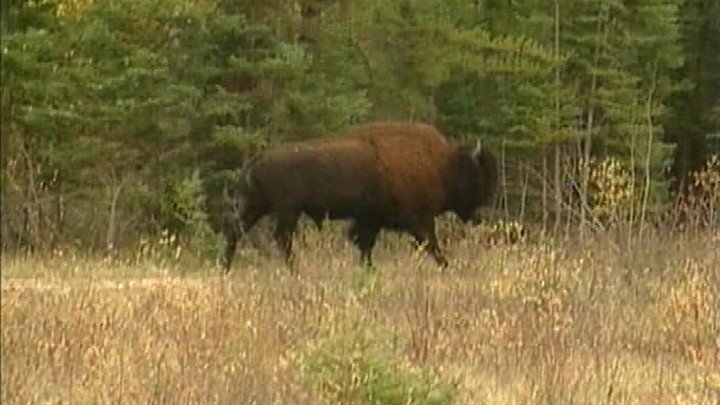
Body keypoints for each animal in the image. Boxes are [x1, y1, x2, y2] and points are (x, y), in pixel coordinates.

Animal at [221, 122, 498, 272]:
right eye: (481, 176)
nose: (486, 206)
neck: (443, 164)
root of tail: (259, 157)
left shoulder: (370, 220)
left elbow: (364, 245)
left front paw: (369, 269)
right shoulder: (419, 220)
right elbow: (432, 245)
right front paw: (447, 266)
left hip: (257, 206)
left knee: (235, 230)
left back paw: (225, 268)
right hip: (287, 210)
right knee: (281, 238)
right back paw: (295, 270)